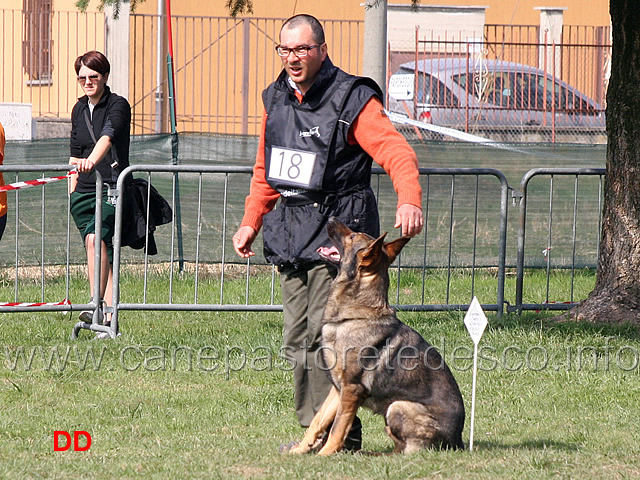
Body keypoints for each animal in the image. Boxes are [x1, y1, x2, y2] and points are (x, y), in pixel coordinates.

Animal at [284, 218, 464, 454]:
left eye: (353, 236)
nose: (330, 218)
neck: (355, 315)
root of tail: (458, 441)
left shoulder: (351, 390)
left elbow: (337, 428)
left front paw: (324, 454)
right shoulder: (338, 389)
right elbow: (318, 421)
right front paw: (301, 450)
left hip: (397, 406)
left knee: (412, 449)